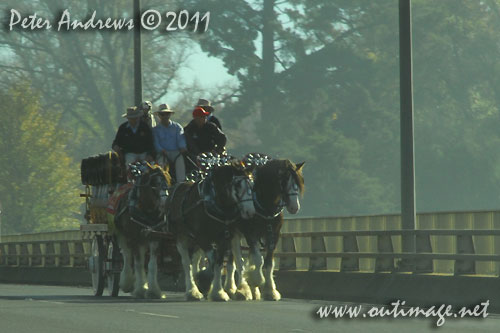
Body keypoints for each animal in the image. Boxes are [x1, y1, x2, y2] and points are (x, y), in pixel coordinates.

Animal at [113, 161, 172, 298]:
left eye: (169, 180)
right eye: (154, 184)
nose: (165, 203)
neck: (146, 209)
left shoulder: (155, 237)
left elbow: (152, 265)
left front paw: (153, 290)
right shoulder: (135, 238)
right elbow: (138, 264)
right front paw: (140, 289)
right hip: (121, 234)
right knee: (127, 256)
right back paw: (127, 282)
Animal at [226, 158, 304, 300]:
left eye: (298, 182)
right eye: (284, 181)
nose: (294, 207)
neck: (265, 204)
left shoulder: (273, 234)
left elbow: (268, 263)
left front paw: (270, 290)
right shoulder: (250, 233)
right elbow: (258, 260)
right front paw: (256, 280)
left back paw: (251, 291)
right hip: (232, 232)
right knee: (235, 261)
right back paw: (237, 289)